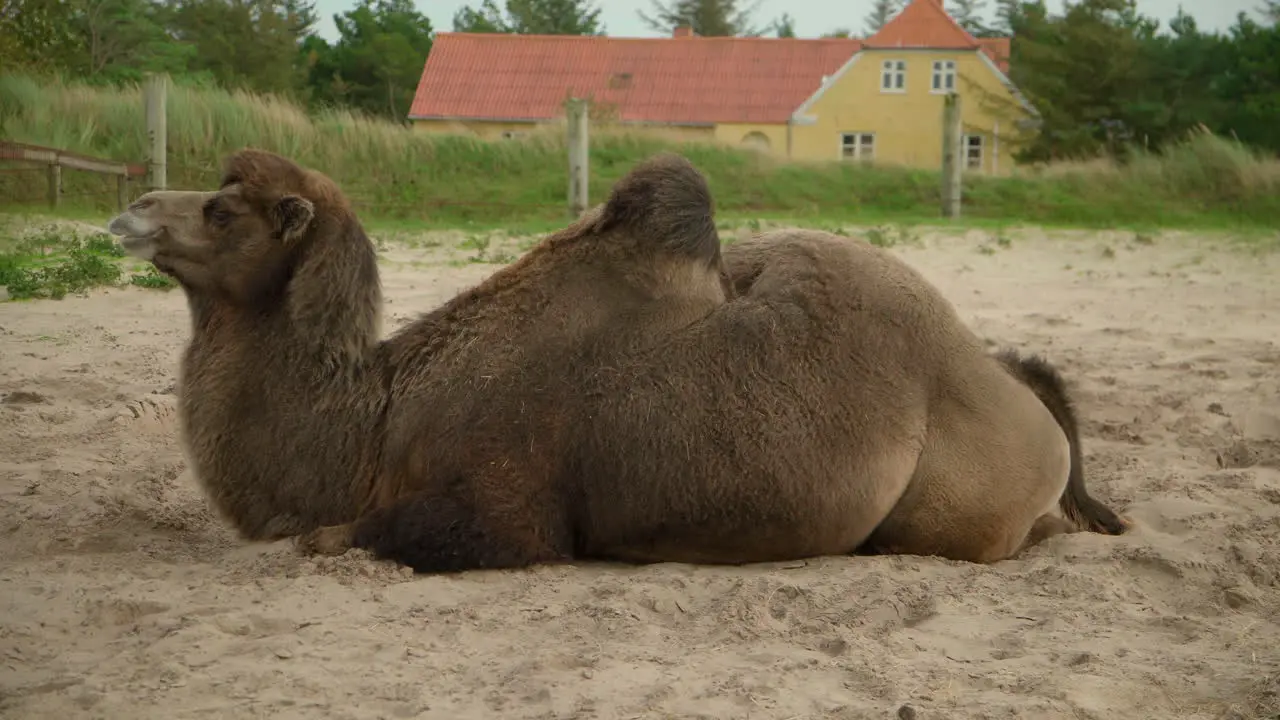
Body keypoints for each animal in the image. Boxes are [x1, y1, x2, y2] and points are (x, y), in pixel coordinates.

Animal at [107, 146, 1131, 571]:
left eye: (223, 210)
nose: (133, 209)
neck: (378, 424)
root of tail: (1015, 390)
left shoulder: (511, 508)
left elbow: (346, 537)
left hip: (961, 510)